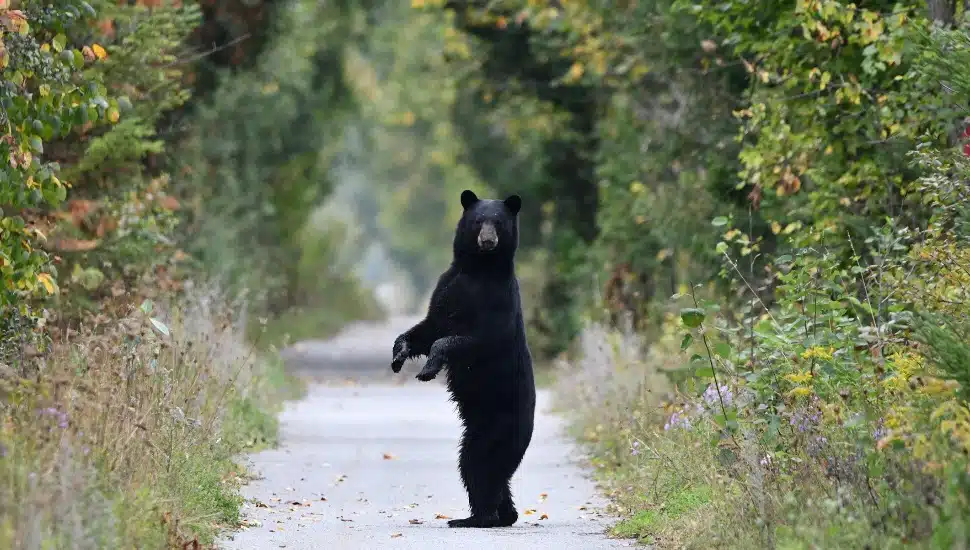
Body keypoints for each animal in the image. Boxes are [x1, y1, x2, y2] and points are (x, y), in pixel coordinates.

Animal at [390, 189, 536, 529]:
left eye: (498, 222)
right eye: (478, 221)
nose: (488, 240)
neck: (478, 269)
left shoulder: (496, 301)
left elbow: (468, 339)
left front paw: (428, 369)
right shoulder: (446, 287)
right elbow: (428, 328)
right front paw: (399, 354)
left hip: (497, 428)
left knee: (480, 466)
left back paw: (476, 517)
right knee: (488, 473)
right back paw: (502, 514)